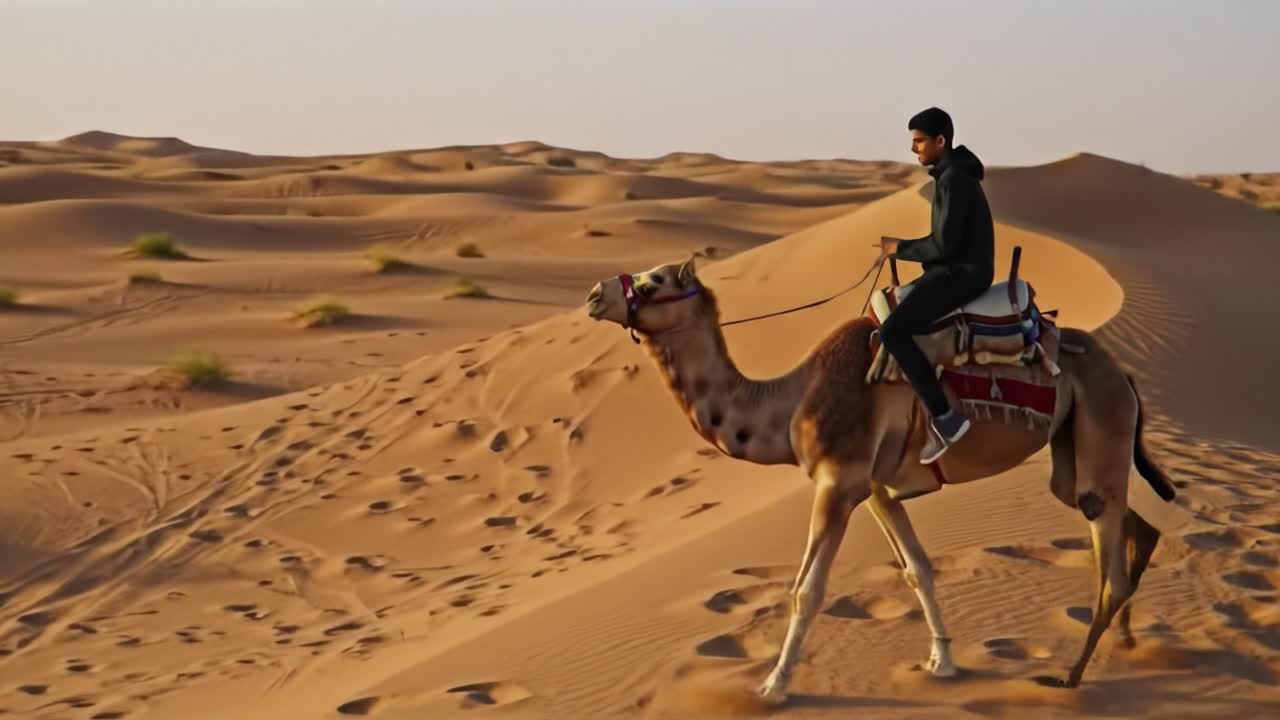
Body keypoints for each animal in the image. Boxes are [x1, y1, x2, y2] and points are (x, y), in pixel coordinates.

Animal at [583, 254, 1176, 704]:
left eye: (653, 282)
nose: (593, 295)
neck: (793, 401)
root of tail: (1124, 372)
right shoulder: (874, 490)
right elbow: (917, 570)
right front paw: (942, 663)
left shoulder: (838, 483)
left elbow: (806, 591)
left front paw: (774, 686)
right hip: (1073, 449)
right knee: (1120, 520)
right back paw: (1125, 641)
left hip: (1102, 418)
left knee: (1108, 550)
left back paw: (1071, 675)